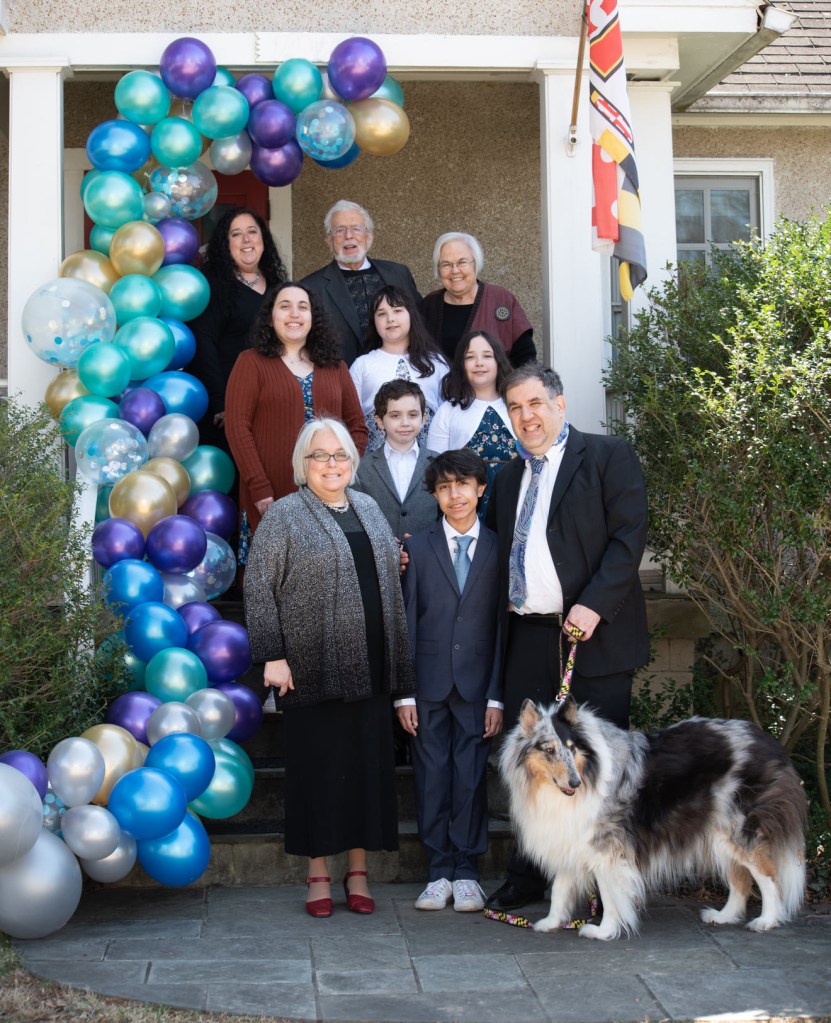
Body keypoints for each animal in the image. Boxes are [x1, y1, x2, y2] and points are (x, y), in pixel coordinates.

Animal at [500, 696, 808, 940]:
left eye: (572, 747)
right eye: (549, 750)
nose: (575, 783)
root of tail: (767, 741)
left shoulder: (607, 848)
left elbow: (609, 893)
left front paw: (604, 930)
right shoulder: (570, 837)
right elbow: (560, 888)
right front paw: (551, 922)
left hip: (739, 830)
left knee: (768, 875)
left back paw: (767, 920)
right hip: (719, 833)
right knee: (740, 880)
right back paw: (723, 916)